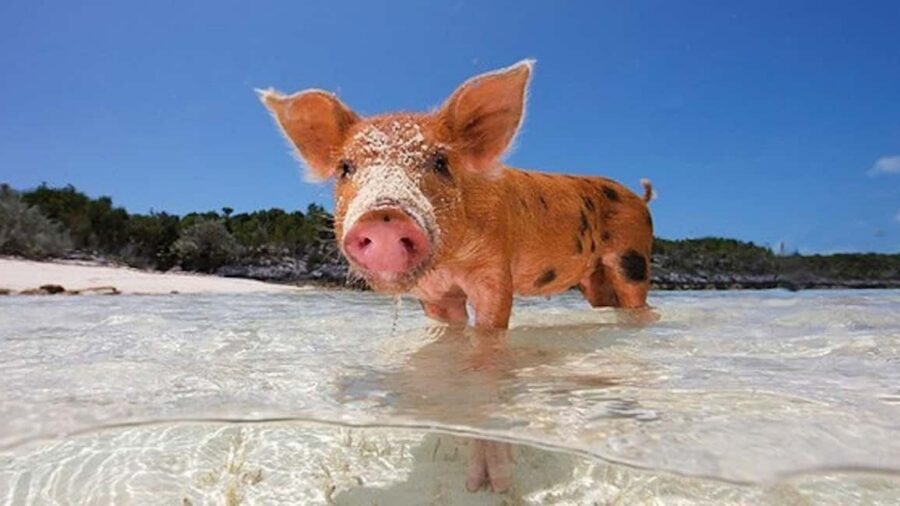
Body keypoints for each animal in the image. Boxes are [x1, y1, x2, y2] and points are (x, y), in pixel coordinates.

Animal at [259, 60, 654, 492]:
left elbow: (487, 345)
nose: (385, 214)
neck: (449, 265)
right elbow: (448, 344)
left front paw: (492, 483)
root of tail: (639, 198)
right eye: (346, 168)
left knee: (642, 306)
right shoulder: (434, 294)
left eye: (440, 163)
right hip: (595, 281)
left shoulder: (494, 272)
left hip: (634, 258)